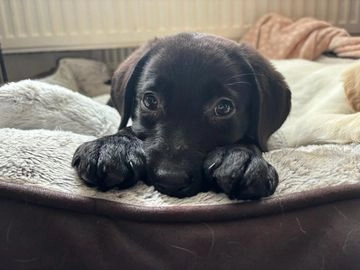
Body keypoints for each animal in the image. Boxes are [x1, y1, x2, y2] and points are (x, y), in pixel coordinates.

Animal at [71, 32, 292, 199]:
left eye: (223, 108)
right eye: (150, 101)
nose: (170, 179)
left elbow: (251, 140)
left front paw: (241, 156)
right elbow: (128, 127)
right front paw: (113, 145)